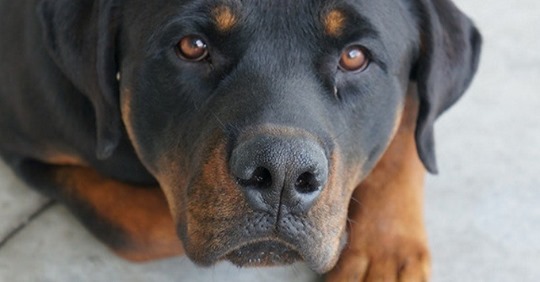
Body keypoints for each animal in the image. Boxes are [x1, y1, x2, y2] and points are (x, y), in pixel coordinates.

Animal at [0, 0, 480, 278]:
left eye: (354, 56)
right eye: (192, 45)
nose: (283, 171)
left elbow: (411, 125)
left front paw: (384, 249)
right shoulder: (28, 146)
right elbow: (139, 228)